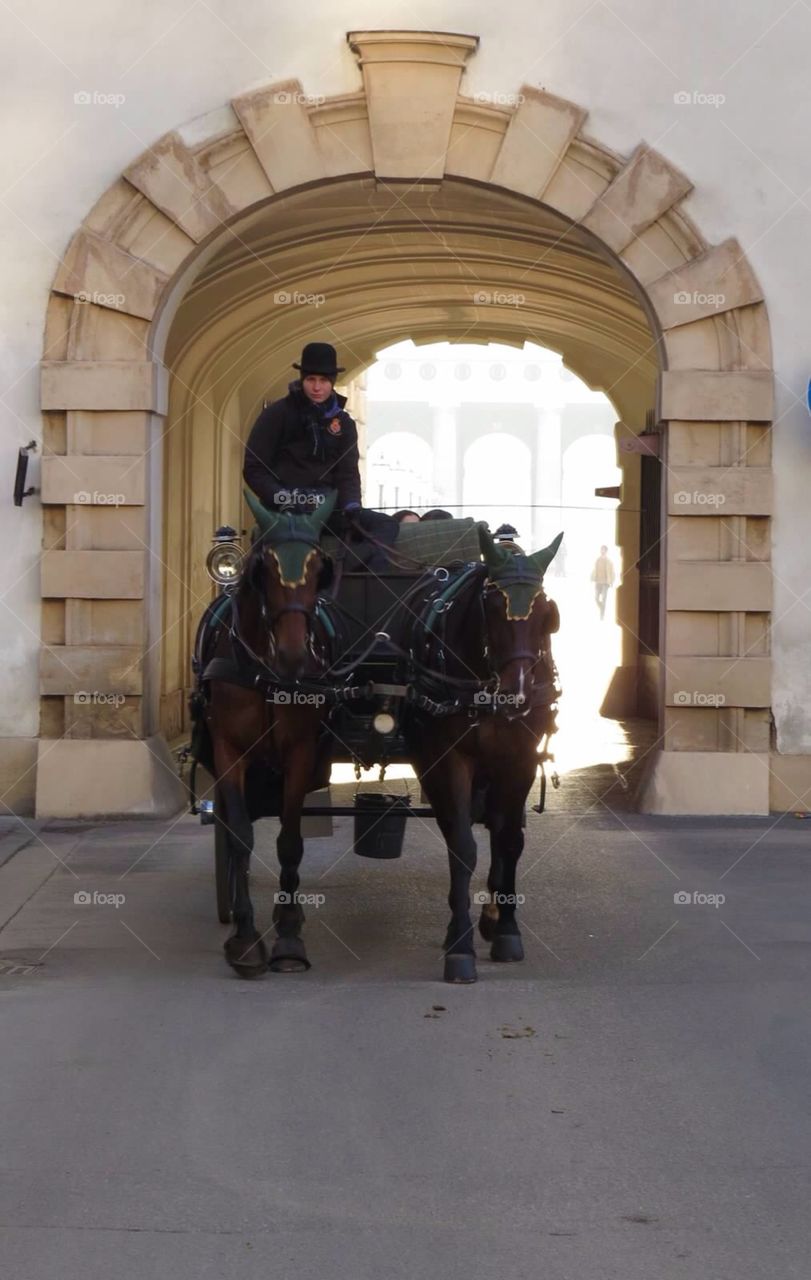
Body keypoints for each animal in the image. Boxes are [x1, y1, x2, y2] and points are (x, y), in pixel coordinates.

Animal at [207, 488, 335, 977]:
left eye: (319, 570)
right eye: (265, 569)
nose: (295, 656)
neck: (265, 672)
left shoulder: (300, 751)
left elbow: (290, 840)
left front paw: (288, 932)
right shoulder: (227, 750)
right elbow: (240, 834)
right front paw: (245, 936)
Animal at [404, 524, 562, 983]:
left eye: (545, 611)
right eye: (493, 607)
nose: (518, 694)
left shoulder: (520, 759)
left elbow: (509, 840)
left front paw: (506, 929)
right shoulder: (449, 759)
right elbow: (462, 847)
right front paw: (460, 946)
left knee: (497, 826)